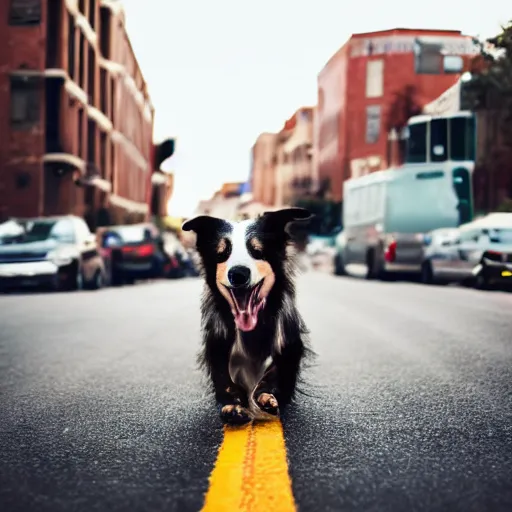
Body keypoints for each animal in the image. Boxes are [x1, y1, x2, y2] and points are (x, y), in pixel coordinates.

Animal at [182, 207, 314, 424]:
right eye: (222, 254)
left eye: (257, 252)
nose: (238, 274)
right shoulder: (217, 343)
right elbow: (224, 378)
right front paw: (233, 405)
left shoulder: (289, 344)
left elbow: (275, 373)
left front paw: (267, 396)